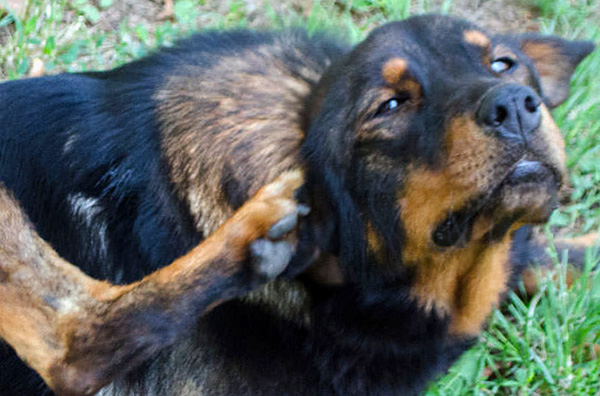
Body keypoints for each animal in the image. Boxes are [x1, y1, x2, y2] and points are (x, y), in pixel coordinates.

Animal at [0, 13, 596, 396]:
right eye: (390, 106)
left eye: (503, 64)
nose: (515, 106)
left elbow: (559, 255)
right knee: (73, 343)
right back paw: (254, 239)